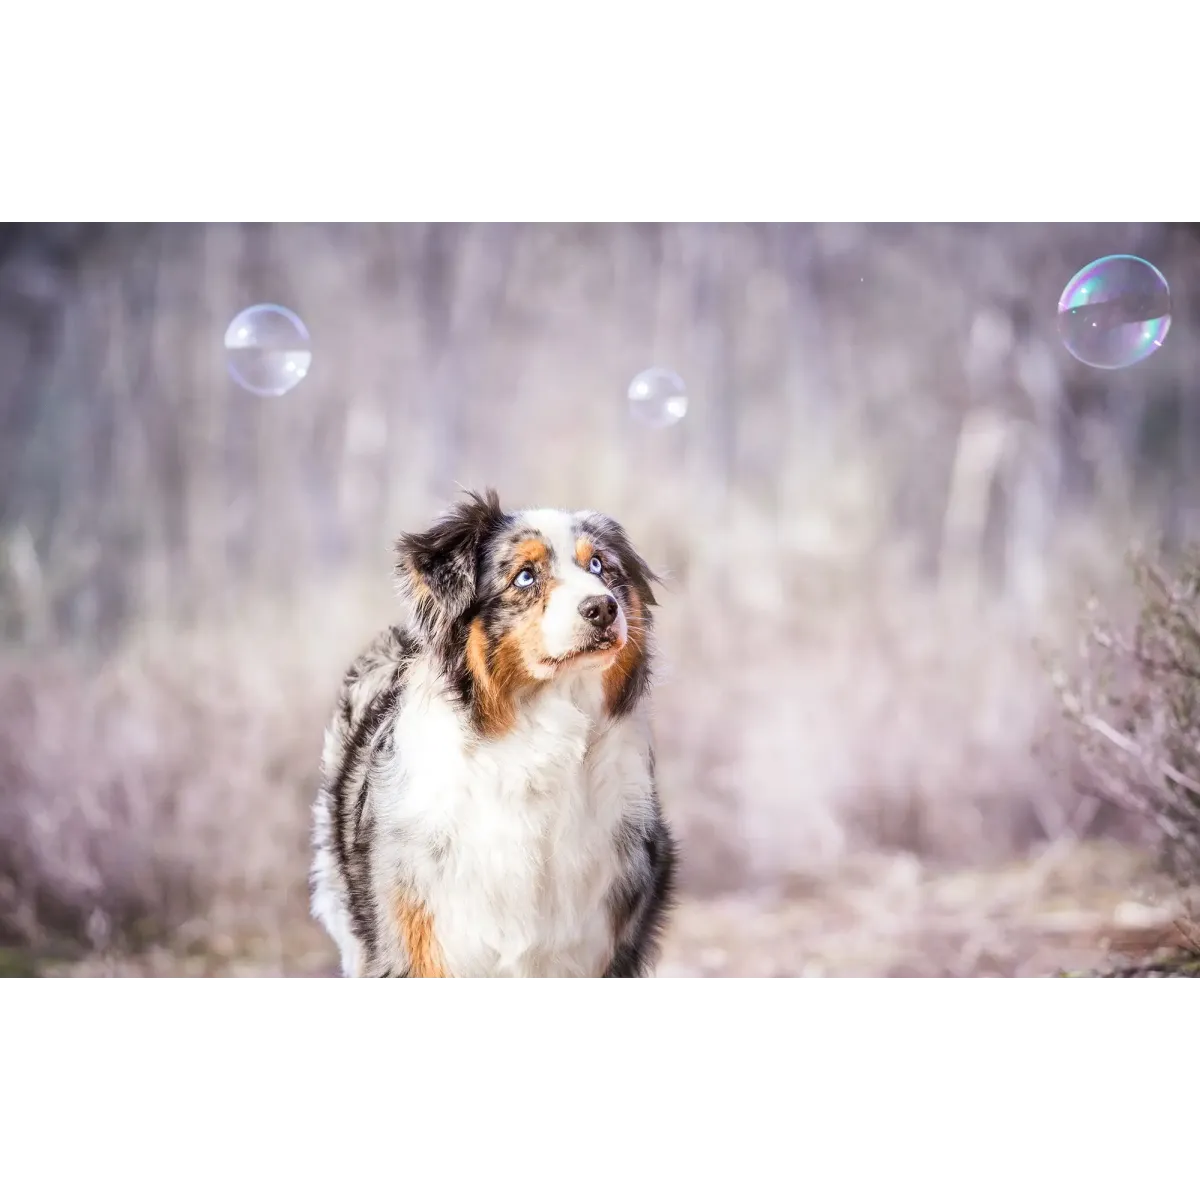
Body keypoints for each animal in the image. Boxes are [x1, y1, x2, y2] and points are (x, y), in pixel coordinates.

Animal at [309, 489, 676, 984]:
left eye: (599, 565)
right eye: (525, 576)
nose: (602, 608)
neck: (540, 738)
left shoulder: (605, 946)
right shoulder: (414, 944)